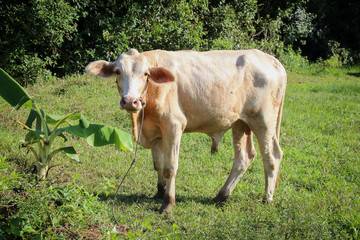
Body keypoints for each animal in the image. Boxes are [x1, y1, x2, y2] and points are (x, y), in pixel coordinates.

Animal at [86, 47, 286, 213]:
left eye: (145, 73)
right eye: (118, 71)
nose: (130, 101)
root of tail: (269, 59)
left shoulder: (173, 125)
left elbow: (170, 167)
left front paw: (168, 203)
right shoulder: (156, 130)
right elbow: (158, 165)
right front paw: (159, 192)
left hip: (264, 121)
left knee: (271, 156)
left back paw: (267, 199)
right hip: (240, 123)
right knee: (244, 158)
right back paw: (222, 195)